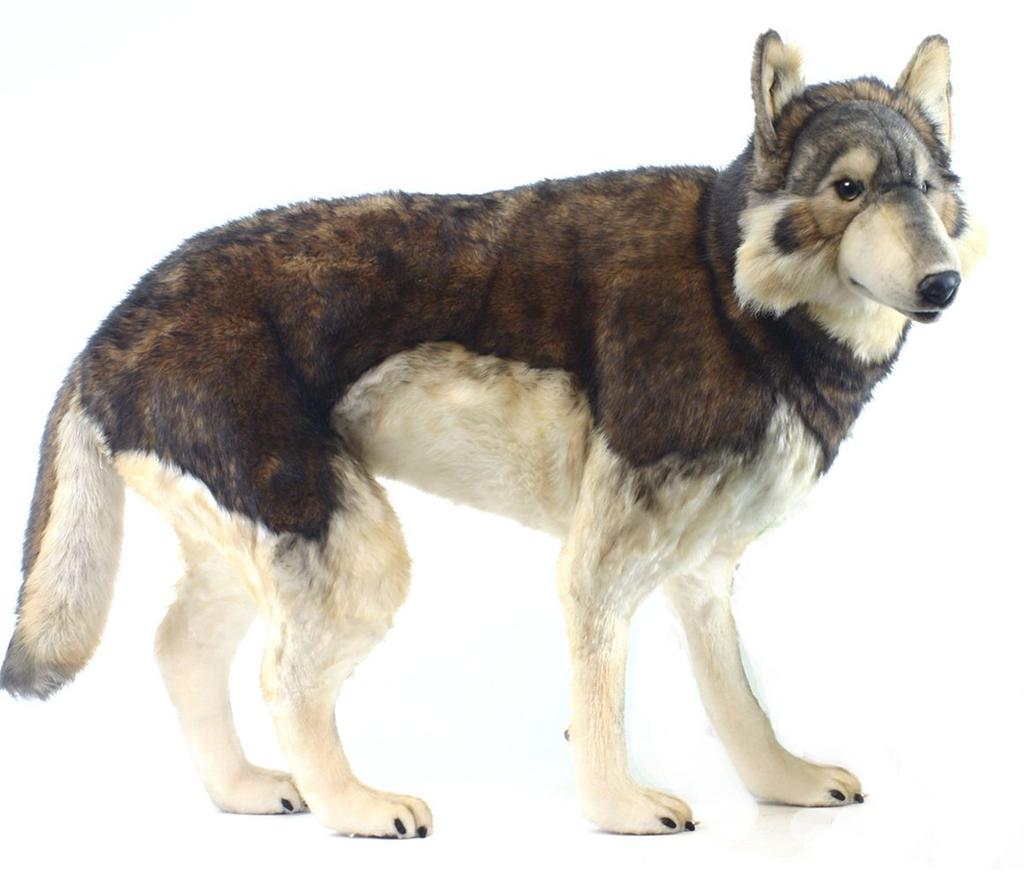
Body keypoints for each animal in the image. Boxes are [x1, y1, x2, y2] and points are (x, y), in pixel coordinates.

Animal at [1, 31, 985, 837]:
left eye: (929, 190)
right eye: (848, 189)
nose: (944, 286)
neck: (730, 290)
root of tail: (102, 335)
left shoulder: (702, 575)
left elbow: (737, 701)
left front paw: (784, 784)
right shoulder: (599, 567)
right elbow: (602, 703)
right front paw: (618, 811)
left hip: (265, 546)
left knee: (178, 649)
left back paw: (247, 790)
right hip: (354, 553)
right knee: (282, 678)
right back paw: (354, 808)